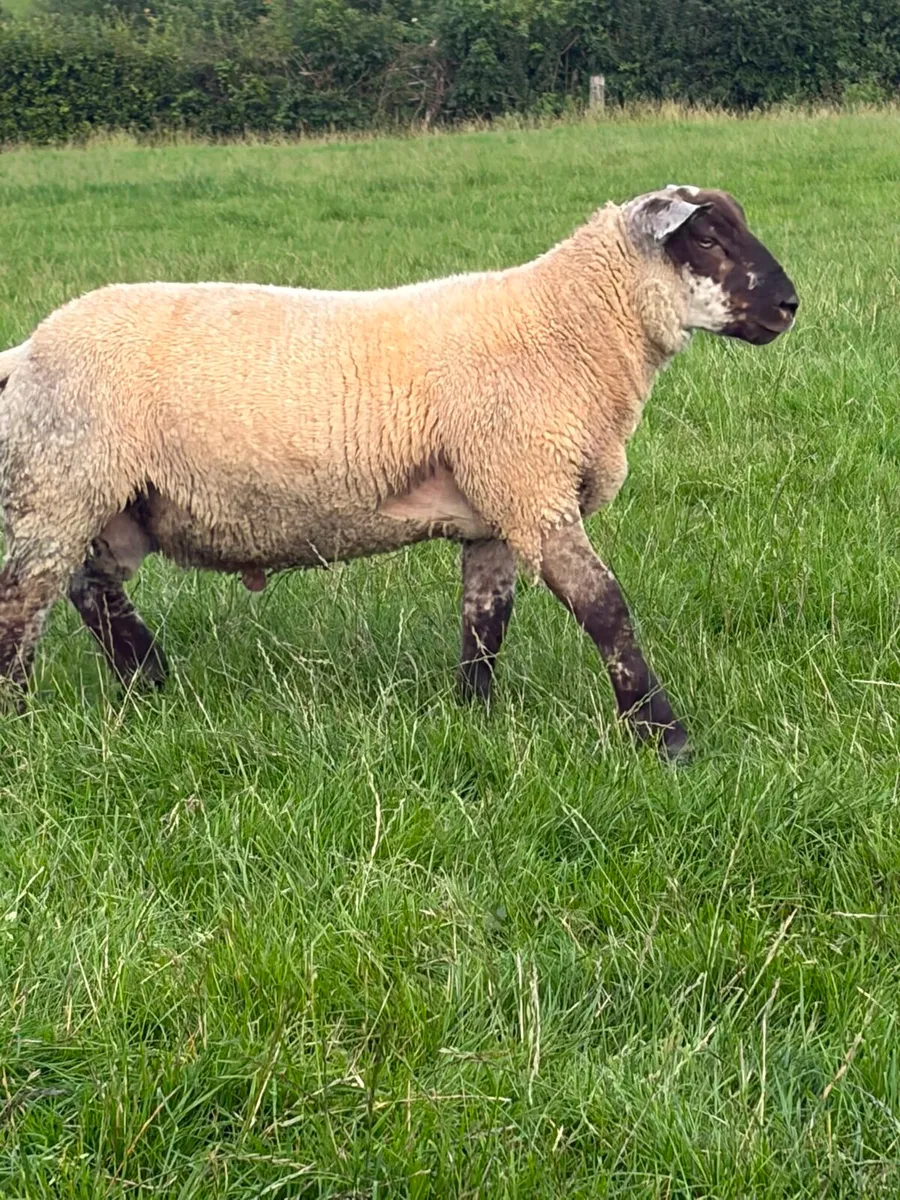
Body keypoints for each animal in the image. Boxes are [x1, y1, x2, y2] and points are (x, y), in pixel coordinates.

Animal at [0, 184, 797, 760]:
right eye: (707, 236)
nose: (790, 305)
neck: (568, 328)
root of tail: (27, 351)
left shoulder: (496, 507)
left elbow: (485, 620)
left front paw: (475, 715)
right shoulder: (532, 485)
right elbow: (605, 609)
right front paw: (665, 738)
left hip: (106, 501)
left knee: (90, 590)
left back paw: (150, 681)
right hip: (63, 482)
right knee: (22, 604)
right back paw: (23, 719)